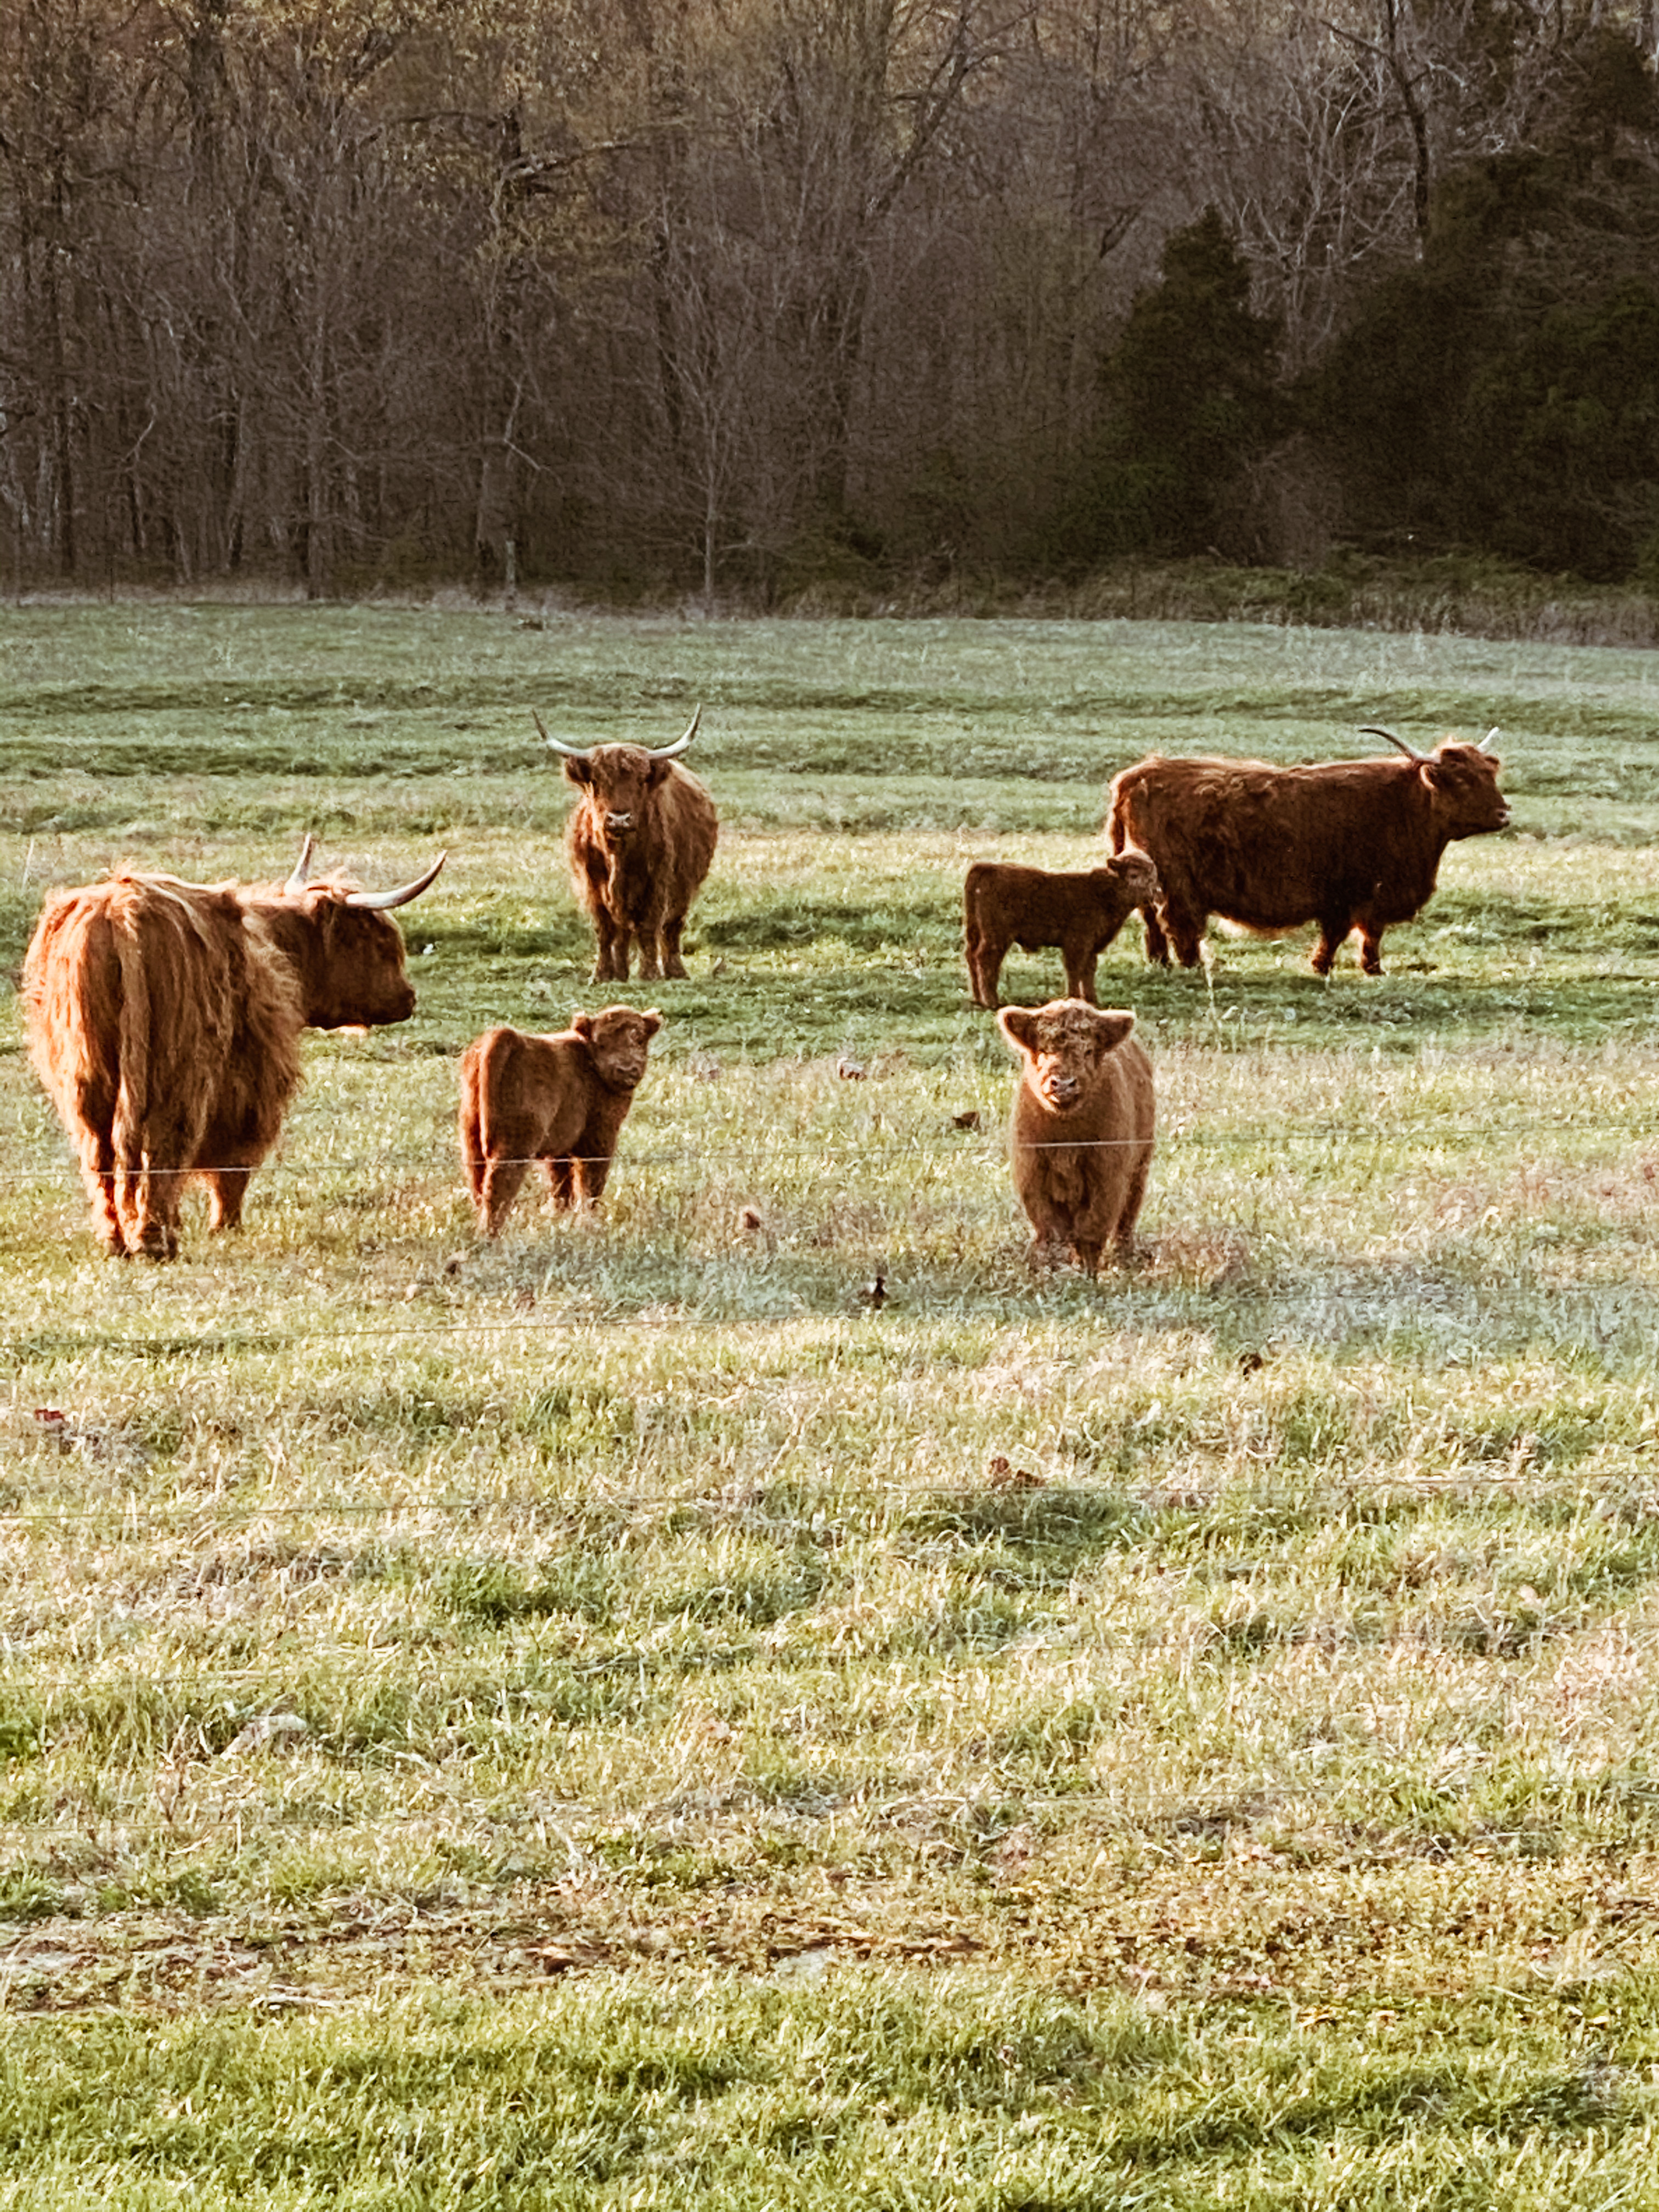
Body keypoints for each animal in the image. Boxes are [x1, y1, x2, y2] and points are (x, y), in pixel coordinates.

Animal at [458, 1008, 668, 1238]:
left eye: (639, 1037)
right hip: (515, 1144)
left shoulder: (559, 1150)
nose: (627, 1069)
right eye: (601, 1042)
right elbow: (589, 1184)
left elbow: (561, 1185)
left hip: (472, 1138)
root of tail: (506, 1036)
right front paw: (587, 1223)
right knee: (500, 1186)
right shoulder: (600, 1139)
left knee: (479, 1182)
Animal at [533, 708, 716, 986]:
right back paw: (620, 973)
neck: (618, 857)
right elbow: (604, 930)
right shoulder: (592, 886)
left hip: (684, 888)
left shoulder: (658, 884)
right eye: (596, 781)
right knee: (622, 934)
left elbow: (649, 927)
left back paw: (676, 971)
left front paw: (649, 974)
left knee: (671, 929)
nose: (619, 819)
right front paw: (601, 975)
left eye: (641, 781)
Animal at [969, 845, 1159, 1013]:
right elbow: (1075, 970)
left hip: (976, 933)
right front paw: (1074, 999)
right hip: (997, 937)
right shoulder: (1077, 944)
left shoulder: (1091, 947)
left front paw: (1092, 1000)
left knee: (971, 957)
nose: (1155, 893)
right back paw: (992, 1002)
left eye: (1153, 875)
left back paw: (978, 999)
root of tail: (986, 868)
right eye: (1134, 874)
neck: (1102, 892)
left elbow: (1088, 971)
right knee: (985, 960)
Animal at [1000, 995, 1159, 1274]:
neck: (1067, 1139)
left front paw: (1087, 1272)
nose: (1063, 1084)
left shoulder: (1108, 1175)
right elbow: (1050, 1229)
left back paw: (1123, 1255)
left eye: (1088, 1051)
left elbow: (1092, 1228)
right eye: (1044, 1050)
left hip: (1140, 1165)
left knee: (1127, 1215)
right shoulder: (1031, 1173)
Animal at [1110, 725, 1513, 978]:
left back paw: (1160, 963)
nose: (1504, 813)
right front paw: (1350, 967)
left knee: (1152, 920)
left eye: (1489, 774)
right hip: (1178, 883)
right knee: (1179, 923)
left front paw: (1347, 967)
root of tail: (1136, 775)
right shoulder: (1361, 892)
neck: (1405, 807)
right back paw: (1194, 965)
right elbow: (1355, 932)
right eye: (1461, 779)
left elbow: (1353, 933)